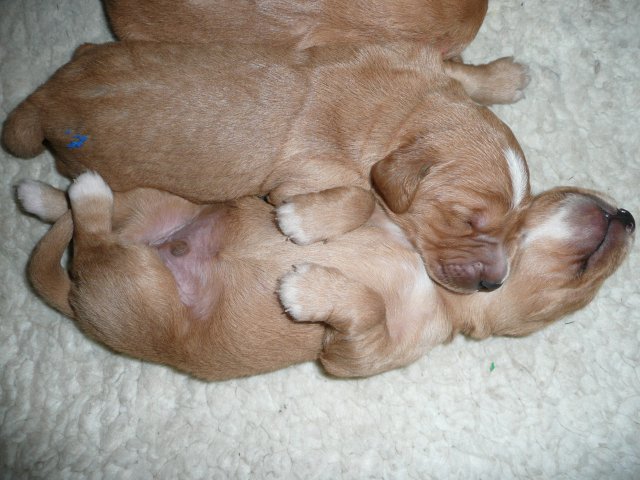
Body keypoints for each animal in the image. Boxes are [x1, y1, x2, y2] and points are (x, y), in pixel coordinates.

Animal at [2, 41, 530, 293]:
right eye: (465, 221)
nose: (495, 284)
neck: (403, 109)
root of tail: (43, 97)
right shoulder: (302, 175)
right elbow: (361, 196)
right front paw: (301, 223)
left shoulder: (416, 61)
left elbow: (459, 71)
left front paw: (501, 76)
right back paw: (40, 195)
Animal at [17, 172, 634, 379]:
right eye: (589, 276)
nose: (629, 217)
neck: (426, 273)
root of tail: (75, 301)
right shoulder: (389, 205)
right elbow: (358, 197)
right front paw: (304, 224)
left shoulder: (356, 357)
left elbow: (366, 311)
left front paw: (306, 287)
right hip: (159, 216)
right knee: (91, 230)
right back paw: (57, 192)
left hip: (144, 282)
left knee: (94, 237)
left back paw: (62, 195)